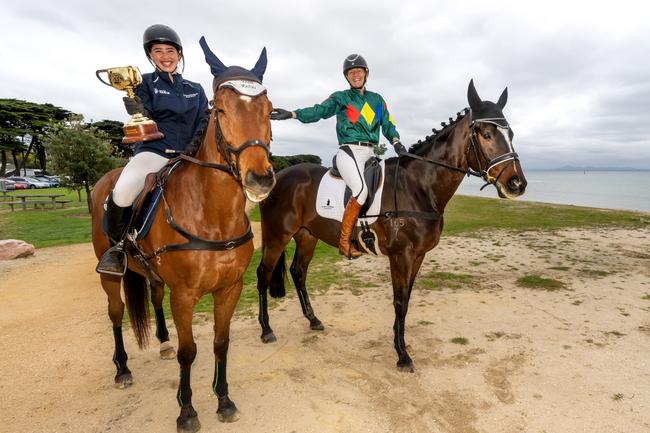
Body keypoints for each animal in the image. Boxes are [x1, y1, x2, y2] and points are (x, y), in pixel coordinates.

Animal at [91, 37, 274, 432]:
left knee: (154, 296)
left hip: (155, 277)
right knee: (116, 311)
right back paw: (122, 368)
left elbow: (221, 342)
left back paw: (161, 342)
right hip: (110, 275)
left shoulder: (229, 289)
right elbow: (189, 351)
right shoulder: (185, 295)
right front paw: (187, 410)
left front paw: (223, 401)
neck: (213, 215)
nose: (260, 179)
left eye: (269, 109)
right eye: (220, 109)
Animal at [256, 80, 524, 372]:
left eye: (510, 132)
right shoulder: (401, 255)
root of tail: (279, 175)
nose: (517, 184)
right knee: (263, 274)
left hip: (307, 236)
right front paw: (402, 355)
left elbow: (406, 299)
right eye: (486, 133)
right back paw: (266, 329)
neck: (418, 186)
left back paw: (313, 320)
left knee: (298, 272)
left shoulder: (418, 256)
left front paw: (399, 344)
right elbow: (399, 301)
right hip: (277, 236)